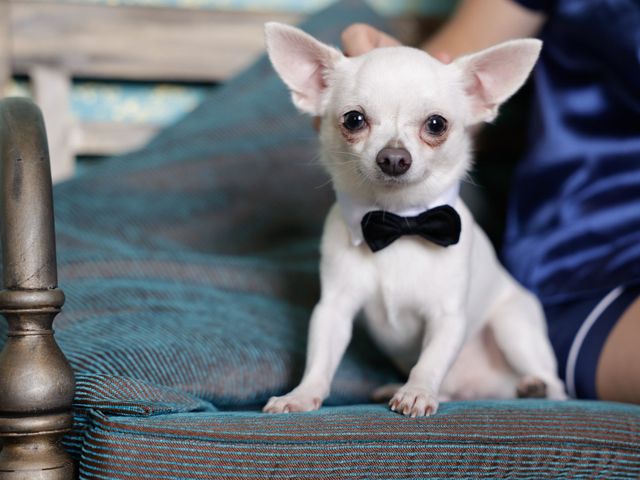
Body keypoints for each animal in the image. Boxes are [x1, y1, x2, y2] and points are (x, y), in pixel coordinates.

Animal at [260, 23, 564, 416]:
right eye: (354, 119)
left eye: (436, 124)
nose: (393, 157)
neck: (400, 221)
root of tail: (489, 389)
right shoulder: (333, 310)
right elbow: (320, 359)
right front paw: (300, 394)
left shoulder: (447, 318)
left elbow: (430, 360)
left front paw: (416, 391)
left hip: (513, 327)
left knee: (558, 385)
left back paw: (535, 388)